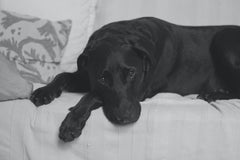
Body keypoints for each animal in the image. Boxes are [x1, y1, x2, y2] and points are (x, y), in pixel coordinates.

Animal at [30, 17, 240, 142]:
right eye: (102, 78)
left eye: (131, 73)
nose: (125, 118)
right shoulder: (87, 75)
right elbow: (62, 75)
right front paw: (44, 91)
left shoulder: (141, 91)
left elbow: (93, 95)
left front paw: (72, 121)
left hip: (223, 40)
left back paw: (213, 94)